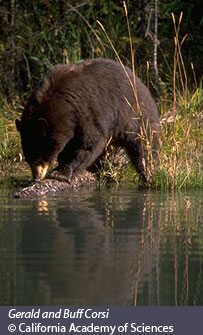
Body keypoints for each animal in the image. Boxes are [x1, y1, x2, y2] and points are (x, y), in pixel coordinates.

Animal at [15, 59, 160, 182]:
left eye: (40, 156)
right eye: (27, 157)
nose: (36, 178)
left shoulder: (87, 111)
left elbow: (89, 142)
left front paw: (61, 172)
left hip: (137, 116)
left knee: (143, 148)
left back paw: (148, 174)